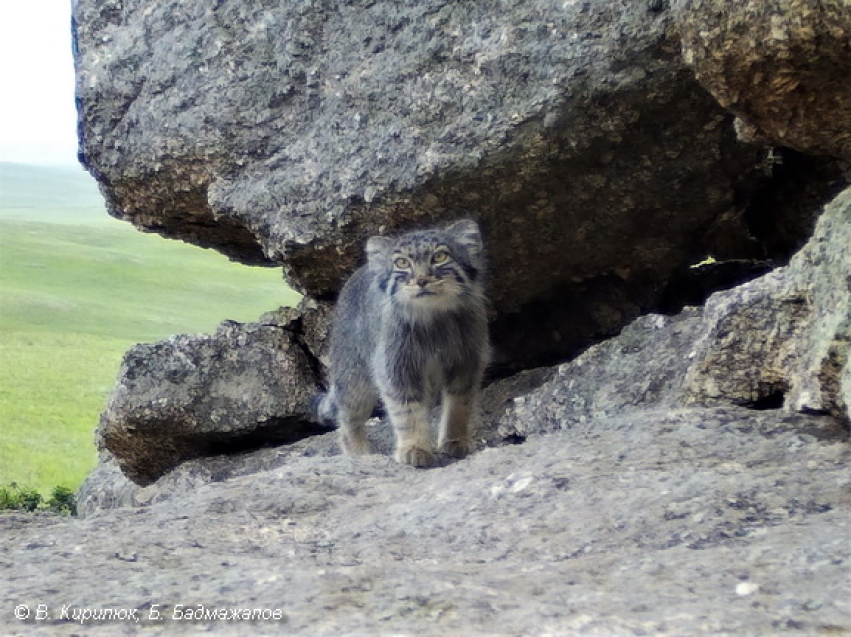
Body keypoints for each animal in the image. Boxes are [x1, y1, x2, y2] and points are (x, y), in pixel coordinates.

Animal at [312, 220, 490, 468]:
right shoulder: (395, 368)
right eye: (402, 263)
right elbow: (407, 412)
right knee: (348, 420)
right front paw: (414, 448)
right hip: (353, 379)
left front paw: (455, 441)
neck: (433, 320)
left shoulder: (467, 362)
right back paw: (359, 455)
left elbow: (458, 407)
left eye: (440, 257)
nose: (422, 280)